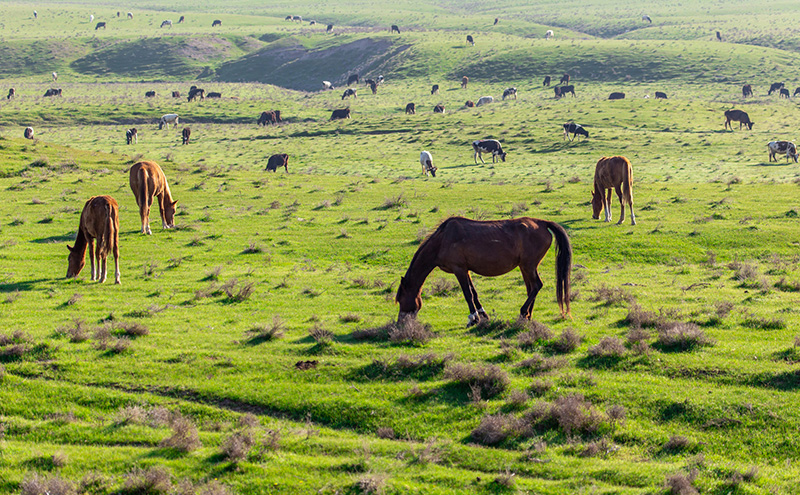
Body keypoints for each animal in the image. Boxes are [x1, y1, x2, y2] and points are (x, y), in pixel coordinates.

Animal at [396, 216, 572, 326]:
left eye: (401, 300)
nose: (400, 323)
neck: (442, 240)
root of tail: (542, 223)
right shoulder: (465, 269)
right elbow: (474, 293)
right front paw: (482, 314)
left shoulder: (459, 269)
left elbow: (467, 294)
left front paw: (473, 319)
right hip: (525, 266)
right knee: (531, 289)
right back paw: (528, 316)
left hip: (528, 265)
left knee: (536, 286)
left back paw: (523, 312)